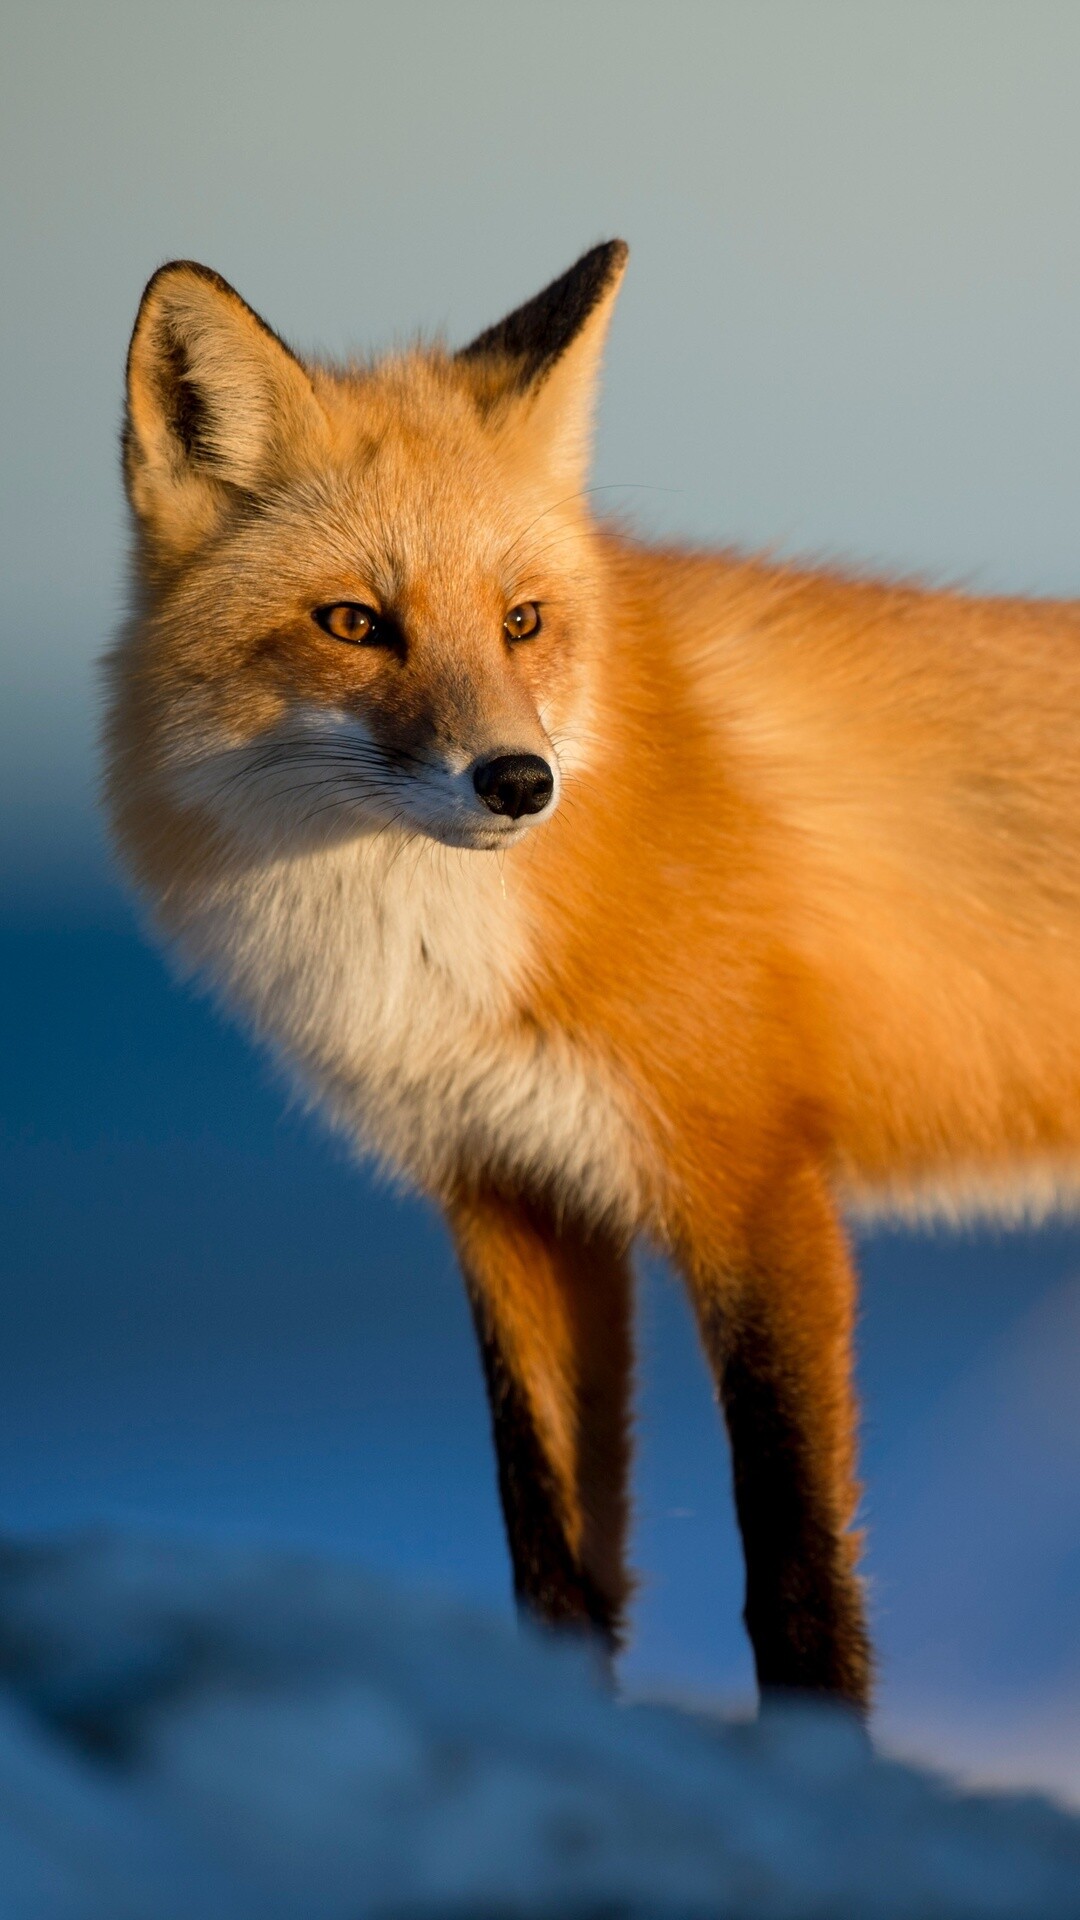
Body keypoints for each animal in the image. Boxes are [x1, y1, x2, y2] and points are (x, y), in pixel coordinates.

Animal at [103, 239, 1080, 1714]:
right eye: (354, 623)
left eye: (522, 622)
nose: (520, 782)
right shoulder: (513, 1194)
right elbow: (551, 1559)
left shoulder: (752, 1181)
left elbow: (795, 1569)